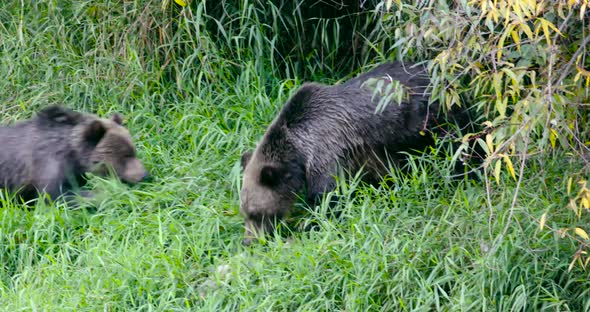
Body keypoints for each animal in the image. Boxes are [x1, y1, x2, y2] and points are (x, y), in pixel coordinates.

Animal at [240, 62, 476, 245]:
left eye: (255, 213)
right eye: (244, 213)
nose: (248, 241)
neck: (299, 148)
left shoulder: (327, 149)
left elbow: (327, 198)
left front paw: (308, 226)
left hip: (434, 118)